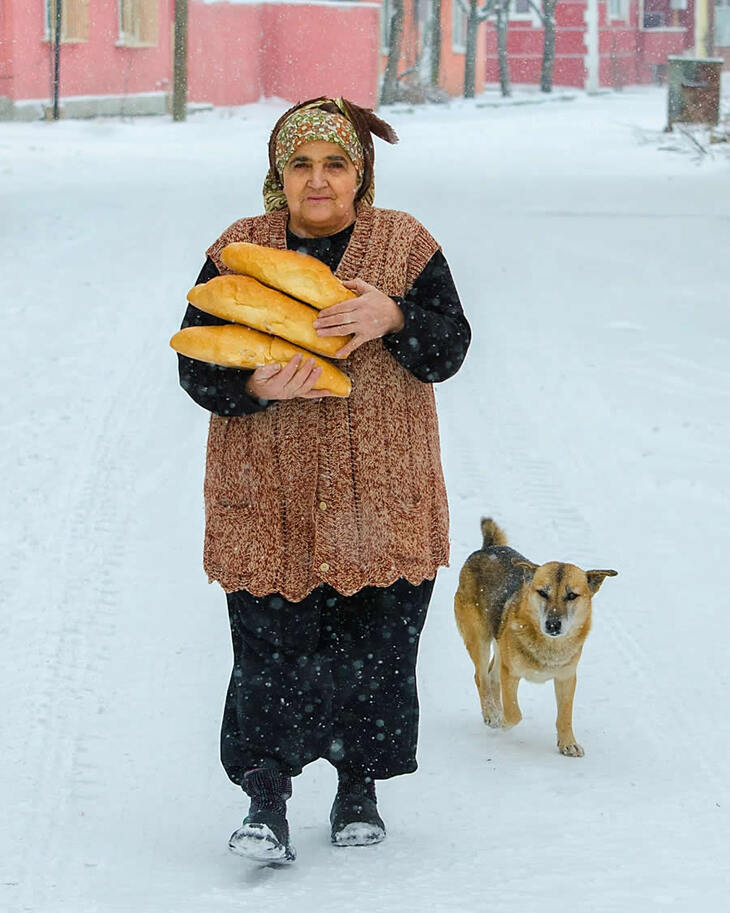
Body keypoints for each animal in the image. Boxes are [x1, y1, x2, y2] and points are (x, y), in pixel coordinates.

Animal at [456, 516, 616, 760]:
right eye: (542, 592)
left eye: (572, 595)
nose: (552, 624)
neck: (549, 646)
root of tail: (488, 548)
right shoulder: (511, 673)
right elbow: (515, 713)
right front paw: (502, 721)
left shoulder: (566, 677)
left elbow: (565, 716)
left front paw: (567, 743)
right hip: (479, 638)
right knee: (481, 676)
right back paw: (492, 713)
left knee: (491, 675)